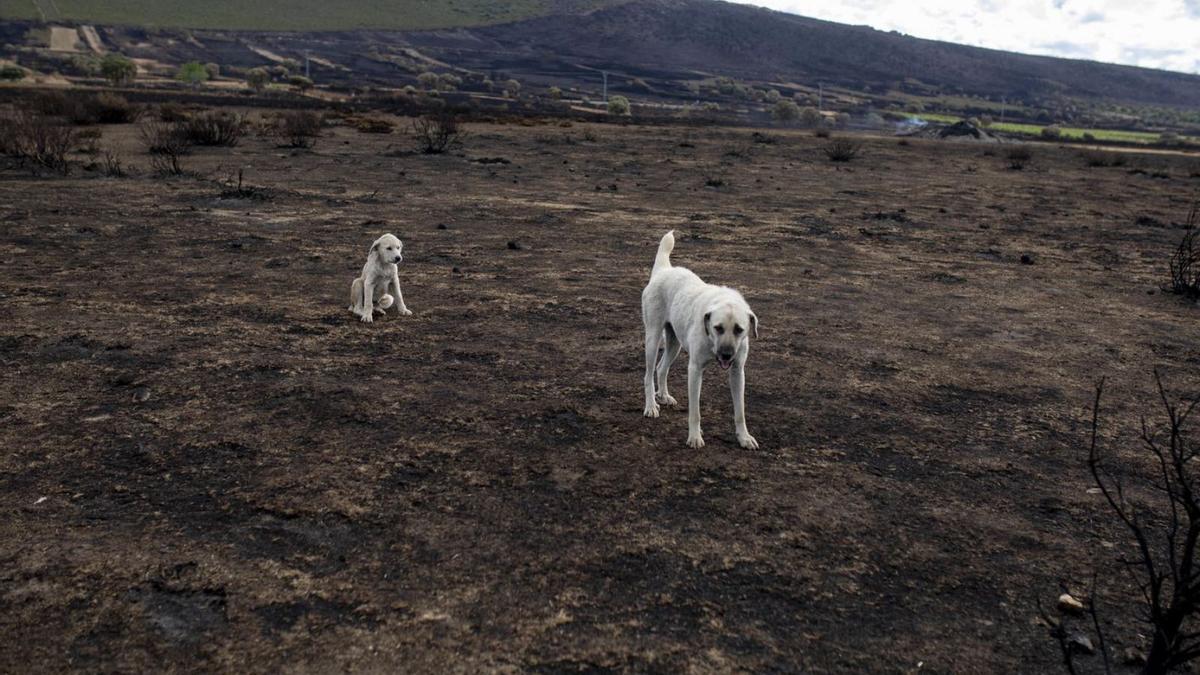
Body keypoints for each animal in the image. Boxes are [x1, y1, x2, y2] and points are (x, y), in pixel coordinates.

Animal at [638, 229, 758, 446]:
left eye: (739, 329)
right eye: (718, 328)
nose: (726, 355)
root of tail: (664, 270)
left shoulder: (737, 372)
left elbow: (740, 412)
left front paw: (744, 437)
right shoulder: (695, 370)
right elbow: (695, 412)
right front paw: (694, 437)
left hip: (674, 344)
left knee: (661, 368)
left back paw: (664, 396)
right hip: (652, 339)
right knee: (648, 374)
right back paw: (651, 405)